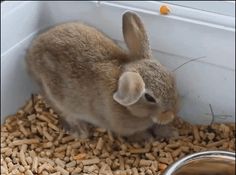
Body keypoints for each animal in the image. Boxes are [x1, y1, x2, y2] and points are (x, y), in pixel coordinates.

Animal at [25, 10, 179, 139]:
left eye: (172, 79)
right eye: (150, 98)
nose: (171, 115)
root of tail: (31, 52)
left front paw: (170, 133)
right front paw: (146, 139)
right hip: (55, 96)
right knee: (66, 113)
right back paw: (81, 131)